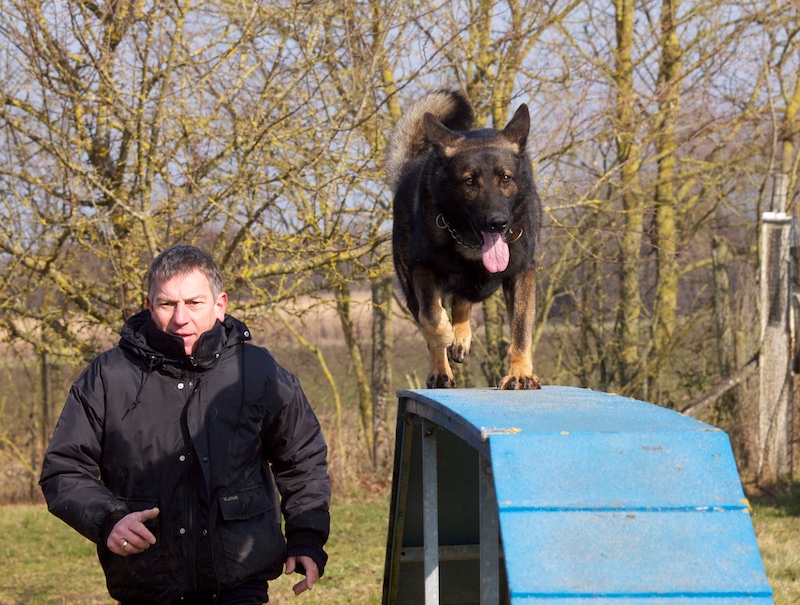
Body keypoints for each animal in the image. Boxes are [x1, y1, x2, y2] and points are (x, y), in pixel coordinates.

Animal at [388, 91, 544, 390]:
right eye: (469, 181)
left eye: (505, 178)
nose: (497, 222)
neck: (469, 242)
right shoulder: (423, 269)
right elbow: (431, 317)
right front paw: (444, 336)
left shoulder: (520, 273)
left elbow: (520, 328)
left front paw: (519, 373)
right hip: (411, 286)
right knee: (433, 315)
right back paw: (441, 370)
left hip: (480, 285)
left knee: (462, 298)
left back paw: (461, 338)